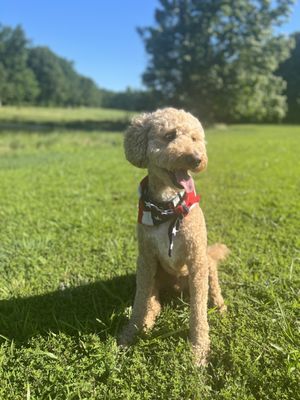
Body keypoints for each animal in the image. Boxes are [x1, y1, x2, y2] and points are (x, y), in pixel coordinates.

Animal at [118, 107, 229, 366]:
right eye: (169, 135)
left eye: (195, 138)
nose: (197, 159)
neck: (167, 207)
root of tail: (177, 288)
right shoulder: (146, 259)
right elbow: (139, 301)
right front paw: (130, 333)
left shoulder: (196, 260)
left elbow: (198, 311)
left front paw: (199, 349)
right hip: (156, 276)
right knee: (152, 301)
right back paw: (148, 320)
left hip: (207, 263)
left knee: (213, 290)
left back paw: (220, 307)